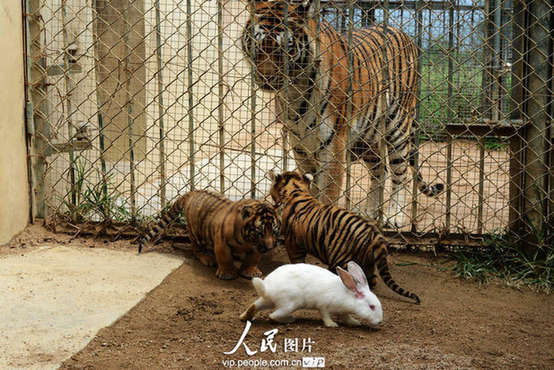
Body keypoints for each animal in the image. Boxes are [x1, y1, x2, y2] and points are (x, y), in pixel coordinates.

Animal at [136, 192, 278, 278]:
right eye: (260, 232)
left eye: (274, 230)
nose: (270, 248)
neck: (247, 240)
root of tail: (192, 192)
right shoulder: (221, 241)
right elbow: (225, 257)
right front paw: (227, 273)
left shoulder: (256, 247)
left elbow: (253, 258)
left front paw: (250, 271)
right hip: (196, 233)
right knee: (196, 250)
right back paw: (207, 258)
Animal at [239, 0, 442, 227]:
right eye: (257, 43)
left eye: (286, 48)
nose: (265, 78)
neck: (294, 90)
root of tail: (403, 34)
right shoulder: (300, 146)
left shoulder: (333, 144)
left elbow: (328, 195)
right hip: (367, 137)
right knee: (380, 170)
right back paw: (370, 212)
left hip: (398, 124)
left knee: (401, 173)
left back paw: (394, 216)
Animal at [239, 260, 382, 326]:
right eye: (372, 307)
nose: (380, 321)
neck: (348, 295)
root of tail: (268, 288)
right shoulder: (324, 306)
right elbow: (325, 315)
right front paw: (332, 324)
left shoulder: (343, 311)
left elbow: (346, 316)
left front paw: (354, 322)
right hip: (290, 304)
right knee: (272, 316)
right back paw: (290, 319)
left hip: (266, 301)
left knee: (254, 306)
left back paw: (244, 317)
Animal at [268, 171, 418, 304]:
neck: (296, 190)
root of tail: (374, 235)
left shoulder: (292, 243)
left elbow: (296, 261)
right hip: (368, 262)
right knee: (371, 280)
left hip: (342, 259)